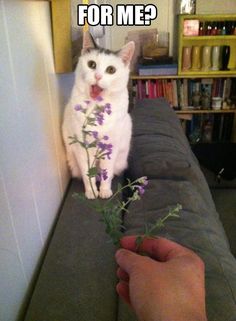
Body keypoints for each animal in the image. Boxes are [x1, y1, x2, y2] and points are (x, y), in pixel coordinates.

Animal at [61, 31, 135, 198]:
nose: (98, 77)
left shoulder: (110, 146)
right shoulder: (82, 148)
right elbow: (87, 172)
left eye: (111, 70)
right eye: (92, 64)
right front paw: (92, 192)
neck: (96, 109)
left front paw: (105, 191)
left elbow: (107, 171)